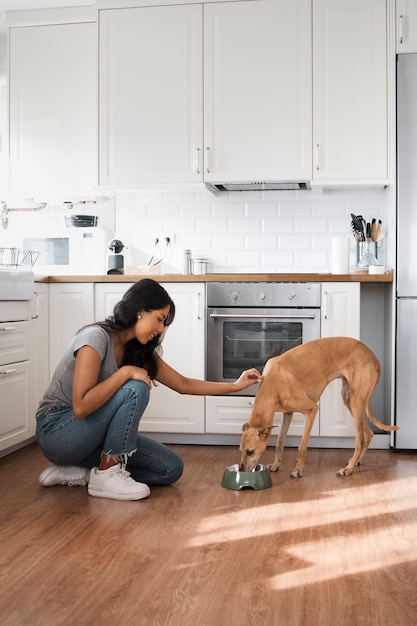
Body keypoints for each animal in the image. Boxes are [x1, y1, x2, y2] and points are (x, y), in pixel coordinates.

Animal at [239, 338, 398, 476]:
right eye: (240, 450)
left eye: (250, 452)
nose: (240, 471)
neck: (273, 382)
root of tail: (373, 356)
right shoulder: (288, 414)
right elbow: (279, 442)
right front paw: (276, 465)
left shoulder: (312, 410)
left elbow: (302, 447)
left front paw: (298, 470)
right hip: (350, 401)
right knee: (369, 433)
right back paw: (356, 460)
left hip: (357, 402)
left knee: (360, 440)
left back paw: (349, 469)